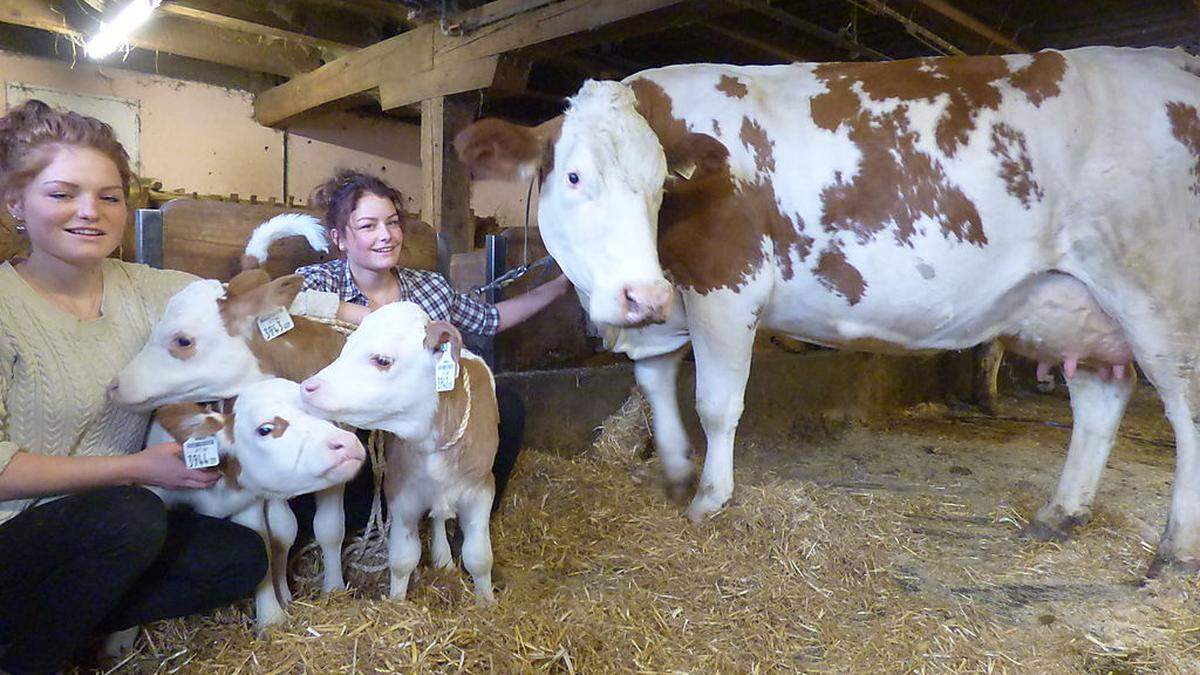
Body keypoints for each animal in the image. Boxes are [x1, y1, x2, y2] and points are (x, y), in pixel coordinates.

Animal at [302, 302, 504, 600]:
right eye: (346, 348)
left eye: (383, 360)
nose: (307, 387)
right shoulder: (401, 492)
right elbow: (402, 558)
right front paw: (397, 601)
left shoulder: (482, 488)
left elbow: (479, 557)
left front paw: (486, 601)